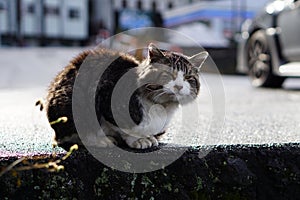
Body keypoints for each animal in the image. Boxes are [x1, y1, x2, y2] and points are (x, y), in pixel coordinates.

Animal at [45, 43, 207, 150]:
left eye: (188, 78)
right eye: (167, 74)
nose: (179, 86)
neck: (162, 107)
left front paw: (150, 137)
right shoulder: (105, 94)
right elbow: (123, 128)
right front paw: (139, 139)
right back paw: (102, 140)